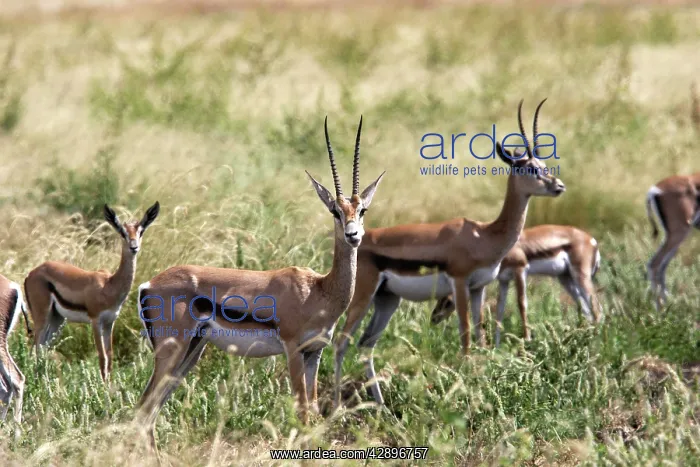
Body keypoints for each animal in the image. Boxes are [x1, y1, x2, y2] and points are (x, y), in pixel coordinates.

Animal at [23, 202, 160, 382]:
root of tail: (32, 273)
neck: (109, 285)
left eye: (141, 231)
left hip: (57, 319)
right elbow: (102, 357)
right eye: (122, 232)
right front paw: (103, 388)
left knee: (43, 349)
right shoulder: (96, 321)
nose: (134, 247)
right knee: (34, 348)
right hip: (42, 317)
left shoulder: (110, 322)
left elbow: (110, 356)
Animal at [135, 116, 385, 452]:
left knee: (153, 408)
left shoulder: (314, 353)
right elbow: (302, 410)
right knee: (144, 406)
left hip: (191, 350)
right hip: (172, 350)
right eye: (335, 211)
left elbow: (313, 409)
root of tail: (147, 284)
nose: (353, 235)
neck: (320, 290)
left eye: (362, 210)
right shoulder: (293, 350)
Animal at [333, 99, 566, 408]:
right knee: (341, 342)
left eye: (544, 165)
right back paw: (335, 406)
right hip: (362, 296)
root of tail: (359, 241)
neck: (483, 235)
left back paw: (381, 407)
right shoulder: (459, 282)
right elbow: (466, 336)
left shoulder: (479, 287)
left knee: (365, 344)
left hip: (387, 299)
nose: (559, 186)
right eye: (529, 169)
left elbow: (480, 335)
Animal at [430, 225, 602, 347]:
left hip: (581, 277)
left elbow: (521, 304)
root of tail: (592, 240)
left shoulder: (521, 270)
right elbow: (500, 309)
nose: (433, 318)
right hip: (565, 279)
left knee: (597, 307)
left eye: (448, 301)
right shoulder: (504, 280)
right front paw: (496, 346)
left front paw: (527, 340)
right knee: (586, 309)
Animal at [645, 173, 700, 311]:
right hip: (679, 233)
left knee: (661, 268)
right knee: (654, 264)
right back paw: (662, 311)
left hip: (673, 237)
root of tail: (654, 189)